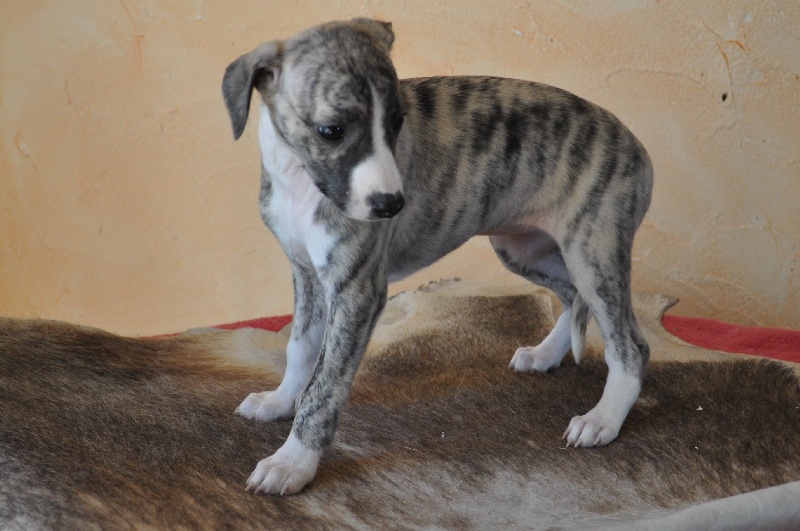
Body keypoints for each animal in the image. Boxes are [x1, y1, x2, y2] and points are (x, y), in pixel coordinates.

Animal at [222, 17, 653, 495]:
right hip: (523, 249)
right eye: (330, 130)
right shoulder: (307, 274)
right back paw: (545, 355)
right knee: (573, 296)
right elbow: (299, 347)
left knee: (630, 344)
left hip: (592, 250)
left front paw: (292, 462)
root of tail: (637, 147)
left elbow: (324, 386)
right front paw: (280, 401)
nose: (392, 205)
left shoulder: (358, 291)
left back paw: (603, 419)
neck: (300, 178)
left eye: (397, 123)